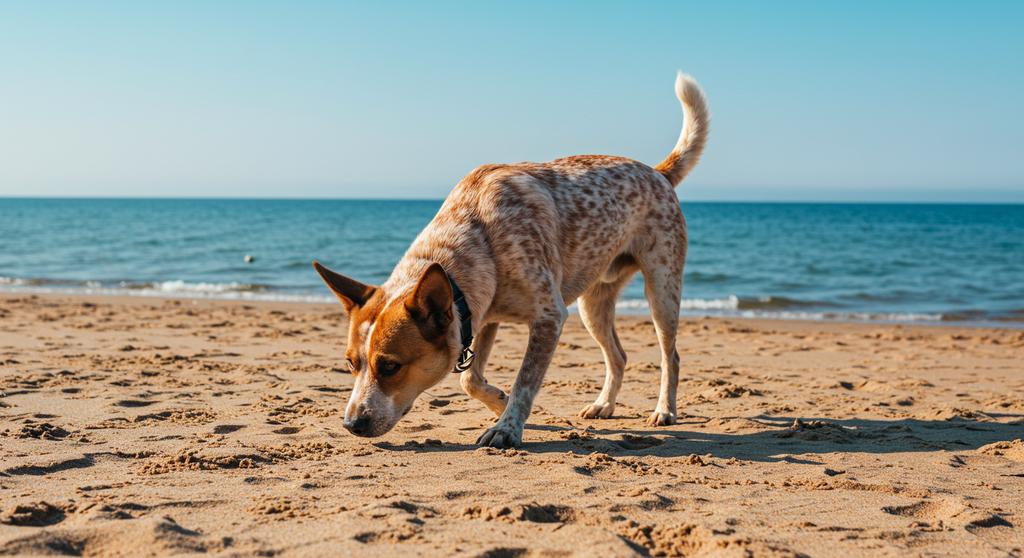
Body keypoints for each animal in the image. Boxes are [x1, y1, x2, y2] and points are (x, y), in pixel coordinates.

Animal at [315, 71, 708, 448]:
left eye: (390, 366)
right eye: (350, 364)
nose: (351, 424)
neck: (475, 232)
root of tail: (657, 172)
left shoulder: (549, 317)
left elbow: (525, 381)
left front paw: (507, 427)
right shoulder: (481, 316)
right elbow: (470, 381)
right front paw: (499, 404)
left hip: (662, 288)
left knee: (670, 355)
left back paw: (664, 410)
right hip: (593, 304)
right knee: (618, 356)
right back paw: (604, 405)